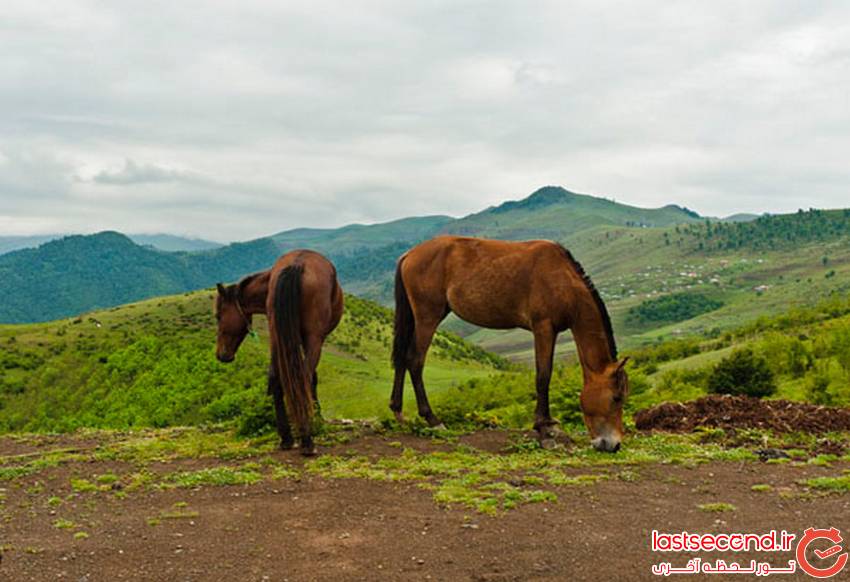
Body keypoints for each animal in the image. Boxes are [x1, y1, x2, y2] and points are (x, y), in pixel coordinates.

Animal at [214, 251, 342, 456]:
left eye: (218, 316)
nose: (221, 355)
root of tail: (296, 265)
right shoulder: (313, 341)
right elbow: (312, 378)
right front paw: (318, 416)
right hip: (312, 339)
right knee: (302, 378)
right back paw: (307, 439)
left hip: (277, 338)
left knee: (275, 378)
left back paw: (286, 437)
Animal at [394, 236, 628, 452]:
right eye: (616, 398)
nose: (614, 445)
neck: (563, 280)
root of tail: (409, 255)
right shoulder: (543, 328)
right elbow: (543, 376)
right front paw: (543, 430)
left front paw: (550, 425)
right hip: (428, 317)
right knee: (415, 361)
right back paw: (432, 419)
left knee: (402, 358)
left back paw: (398, 412)